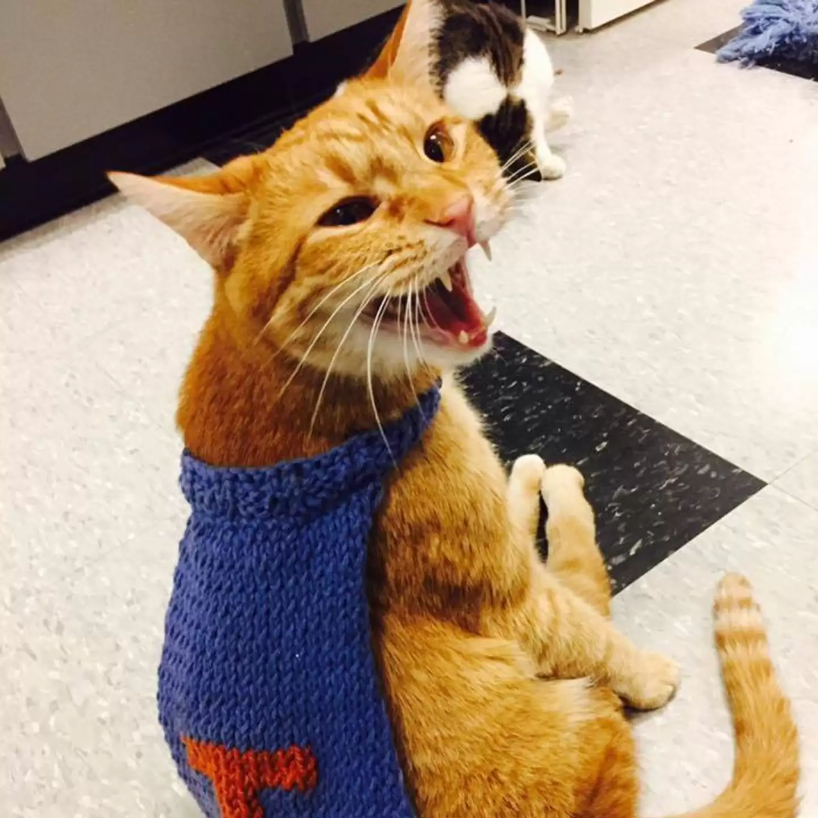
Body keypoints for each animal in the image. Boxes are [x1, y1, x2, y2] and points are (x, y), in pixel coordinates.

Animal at [110, 55, 796, 816]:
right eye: (346, 214)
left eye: (436, 145)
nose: (458, 209)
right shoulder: (510, 595)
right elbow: (589, 624)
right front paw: (647, 671)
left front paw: (519, 474)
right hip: (575, 702)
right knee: (584, 582)